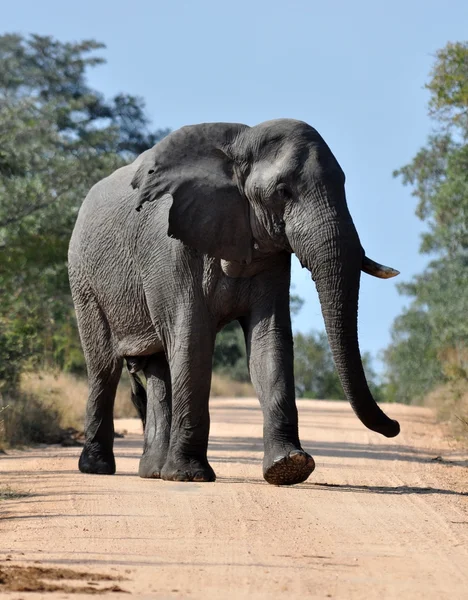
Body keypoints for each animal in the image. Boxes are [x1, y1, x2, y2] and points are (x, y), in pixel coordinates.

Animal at [68, 118, 398, 488]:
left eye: (343, 185)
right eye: (282, 191)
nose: (395, 426)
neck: (239, 145)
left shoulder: (269, 252)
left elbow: (269, 341)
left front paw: (289, 466)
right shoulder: (169, 249)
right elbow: (192, 338)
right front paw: (189, 476)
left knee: (156, 368)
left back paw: (152, 471)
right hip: (84, 278)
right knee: (103, 367)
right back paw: (98, 467)